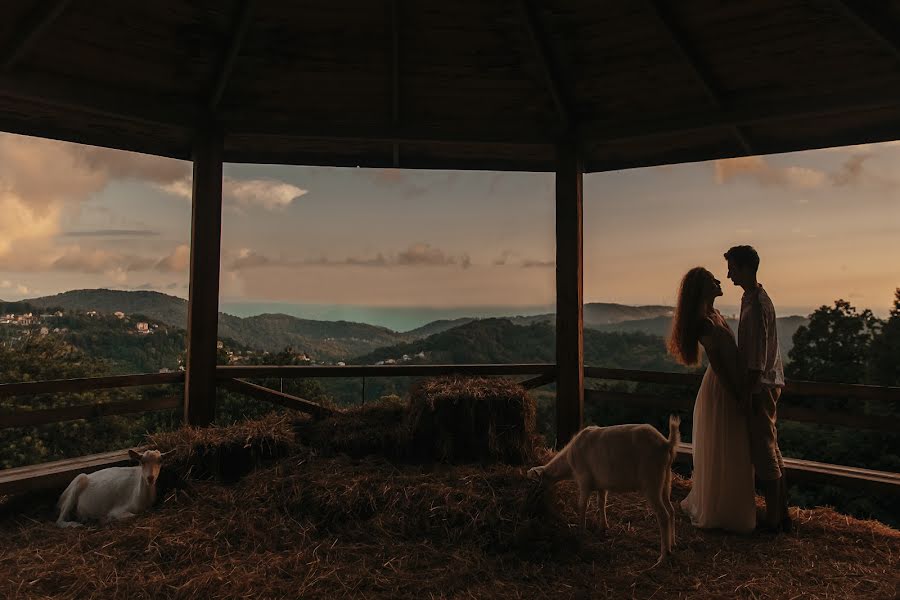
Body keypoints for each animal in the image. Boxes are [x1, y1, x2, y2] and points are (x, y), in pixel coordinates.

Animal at [524, 414, 680, 564]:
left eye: (533, 483)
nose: (531, 501)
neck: (569, 462)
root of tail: (666, 444)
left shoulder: (584, 480)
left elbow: (582, 505)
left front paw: (581, 530)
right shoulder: (601, 485)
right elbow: (601, 503)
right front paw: (603, 526)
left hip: (652, 480)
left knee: (663, 515)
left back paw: (663, 557)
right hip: (666, 480)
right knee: (671, 510)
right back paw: (672, 545)